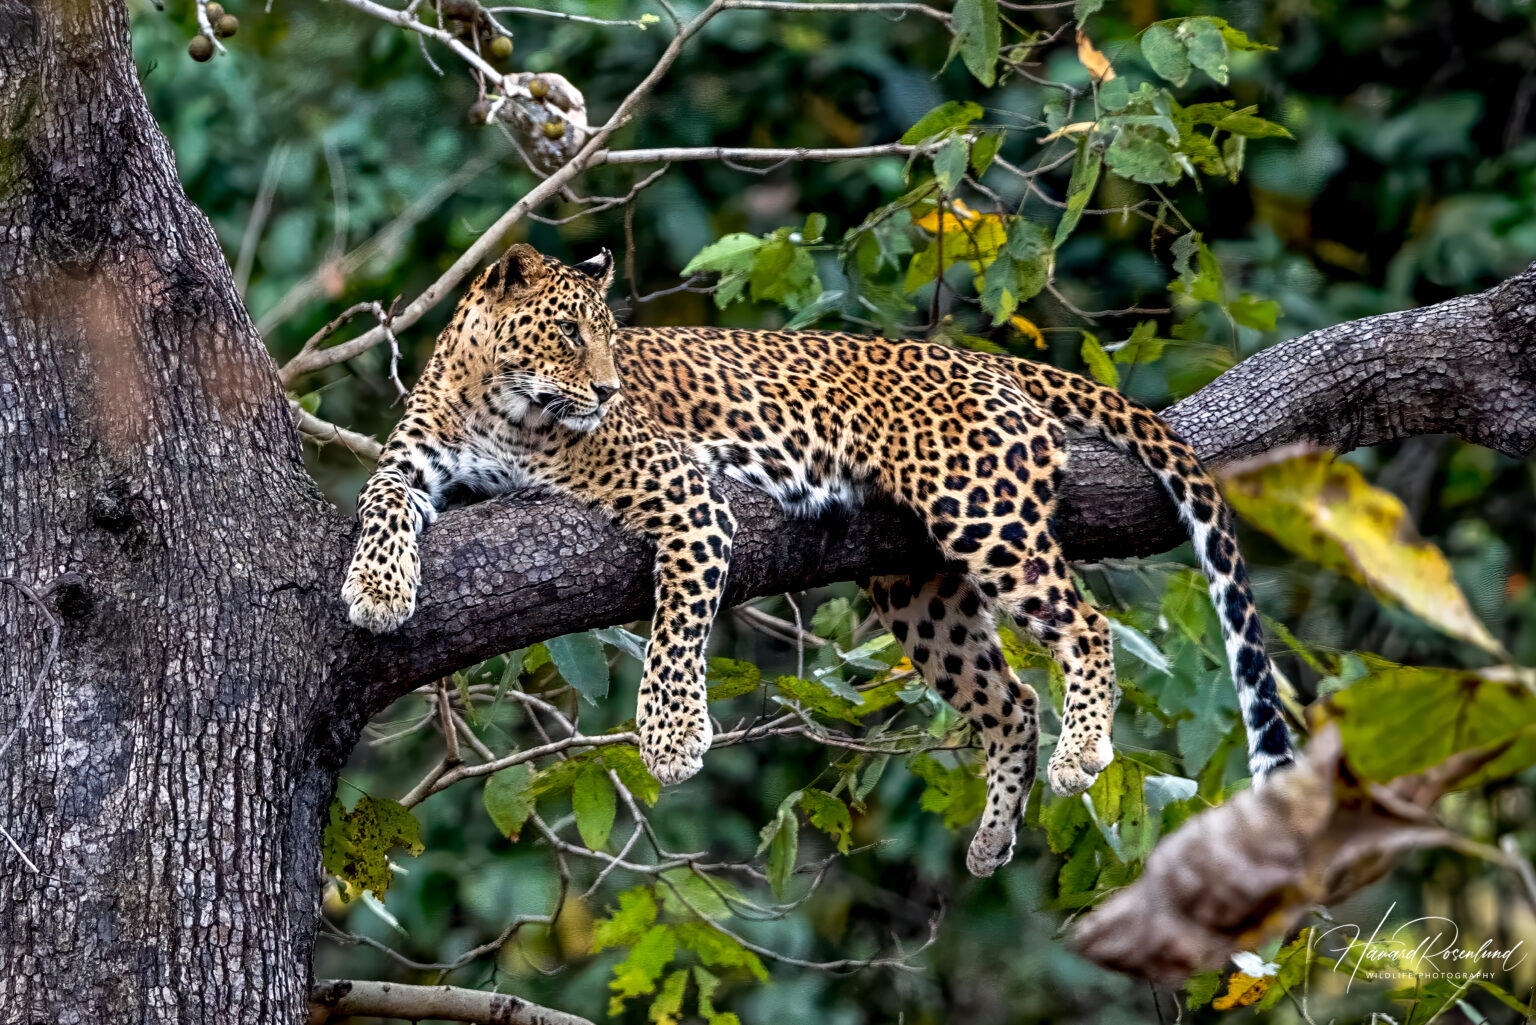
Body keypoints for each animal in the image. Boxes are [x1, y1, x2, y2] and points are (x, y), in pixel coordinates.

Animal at [342, 243, 1295, 877]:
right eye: (571, 333)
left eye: (610, 337)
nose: (609, 390)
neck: (494, 401)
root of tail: (974, 357)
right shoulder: (411, 463)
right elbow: (380, 504)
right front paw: (376, 588)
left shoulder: (688, 491)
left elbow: (676, 622)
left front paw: (671, 736)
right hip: (919, 587)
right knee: (1012, 699)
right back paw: (993, 836)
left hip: (979, 509)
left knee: (1086, 625)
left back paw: (1081, 753)